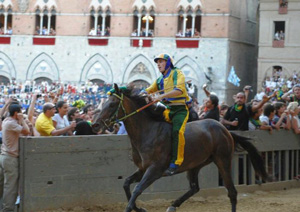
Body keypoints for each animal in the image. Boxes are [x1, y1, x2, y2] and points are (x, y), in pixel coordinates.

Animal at [92, 84, 270, 212]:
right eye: (104, 102)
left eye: (112, 104)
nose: (95, 125)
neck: (147, 131)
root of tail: (224, 129)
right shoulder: (143, 169)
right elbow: (126, 184)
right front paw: (139, 208)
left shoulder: (155, 170)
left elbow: (136, 189)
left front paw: (134, 207)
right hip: (195, 165)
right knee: (195, 188)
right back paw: (173, 205)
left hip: (223, 160)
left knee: (232, 192)